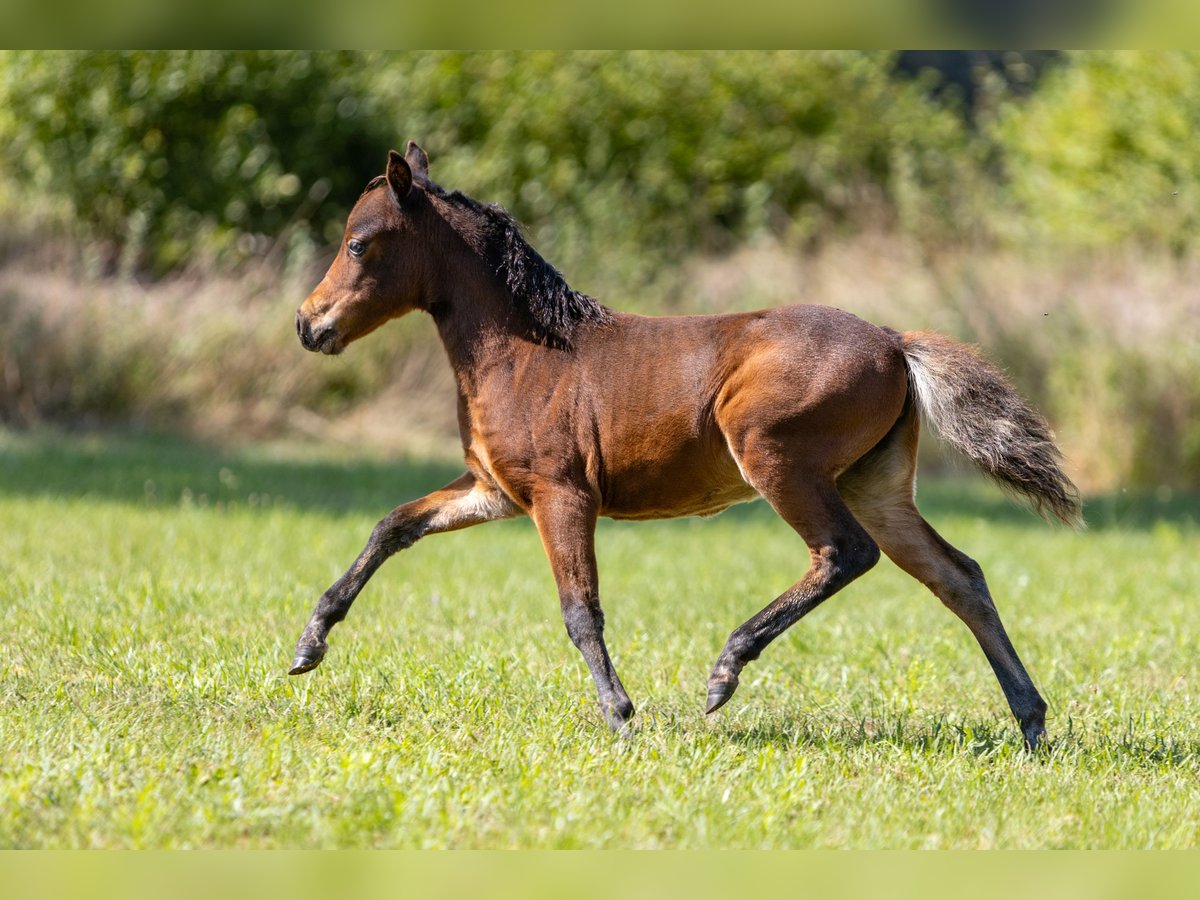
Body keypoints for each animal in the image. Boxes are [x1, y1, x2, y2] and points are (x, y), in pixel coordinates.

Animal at [288, 144, 1080, 748]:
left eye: (358, 243)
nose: (307, 323)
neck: (525, 353)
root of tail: (893, 341)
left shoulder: (561, 494)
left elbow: (580, 609)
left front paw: (620, 714)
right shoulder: (496, 492)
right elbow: (392, 526)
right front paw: (309, 643)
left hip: (777, 460)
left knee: (845, 554)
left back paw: (725, 671)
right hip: (875, 485)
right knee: (958, 576)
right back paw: (1031, 722)